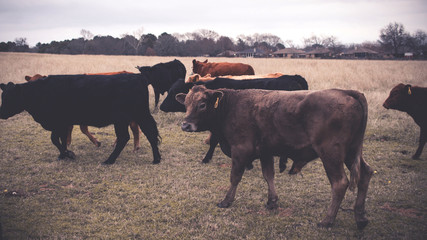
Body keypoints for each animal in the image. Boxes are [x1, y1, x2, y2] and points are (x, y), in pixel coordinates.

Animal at [0, 74, 160, 164]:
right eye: (3, 96)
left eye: (10, 97)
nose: (1, 113)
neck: (41, 92)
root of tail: (137, 77)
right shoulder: (64, 124)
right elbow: (61, 139)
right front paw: (63, 155)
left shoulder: (60, 122)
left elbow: (55, 139)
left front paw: (68, 154)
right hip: (136, 116)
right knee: (149, 133)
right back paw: (156, 159)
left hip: (125, 118)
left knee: (125, 137)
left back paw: (109, 160)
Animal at [177, 86, 374, 229]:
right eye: (185, 104)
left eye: (202, 104)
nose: (185, 125)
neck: (231, 106)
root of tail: (346, 92)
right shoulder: (266, 152)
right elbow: (268, 175)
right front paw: (272, 201)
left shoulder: (240, 150)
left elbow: (235, 177)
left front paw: (226, 201)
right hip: (351, 152)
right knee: (365, 174)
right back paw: (360, 216)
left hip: (331, 154)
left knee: (339, 183)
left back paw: (327, 220)